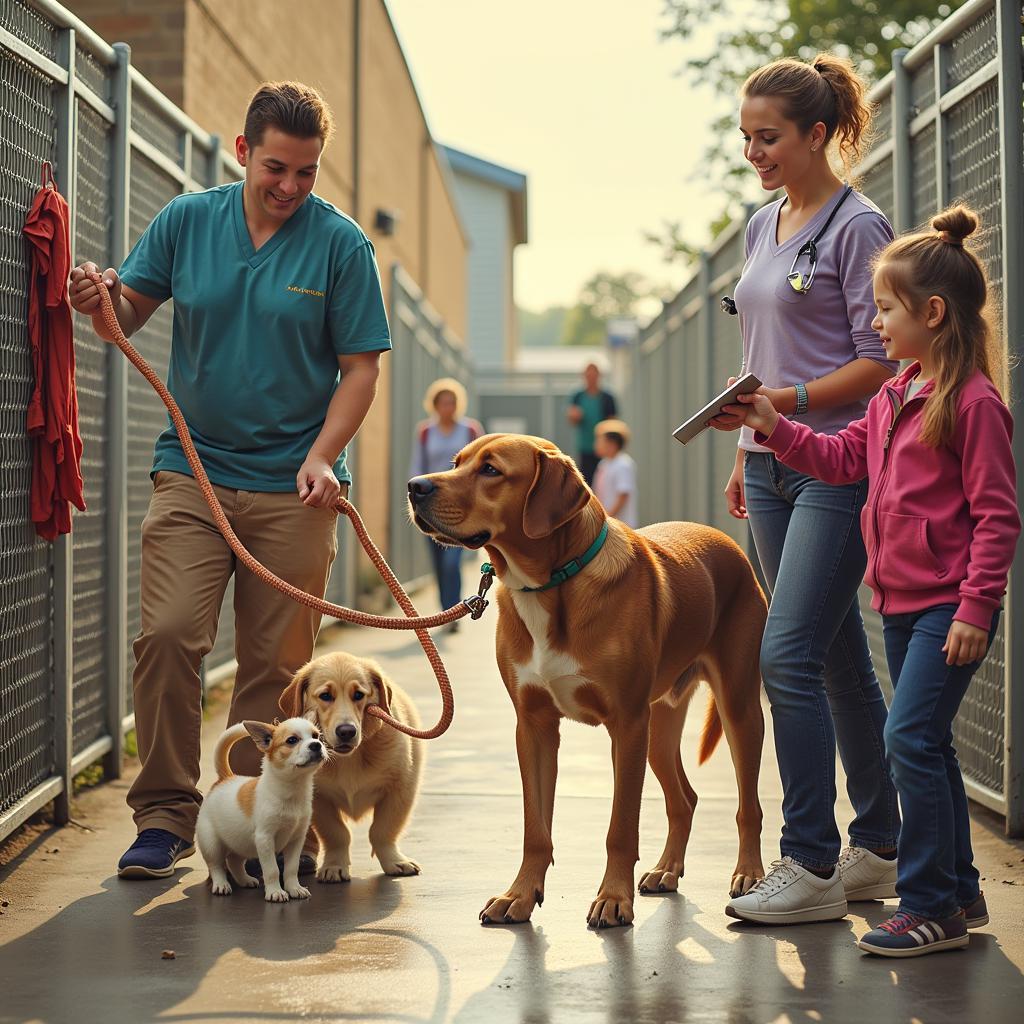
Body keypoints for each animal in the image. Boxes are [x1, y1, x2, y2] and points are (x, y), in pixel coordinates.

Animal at [197, 716, 325, 901]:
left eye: (317, 736)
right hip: (211, 844)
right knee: (216, 865)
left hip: (240, 842)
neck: (292, 790)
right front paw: (275, 892)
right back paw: (221, 884)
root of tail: (224, 779)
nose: (316, 744)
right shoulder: (265, 839)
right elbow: (272, 870)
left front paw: (294, 888)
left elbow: (291, 869)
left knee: (234, 862)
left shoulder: (296, 840)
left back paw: (245, 880)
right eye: (292, 740)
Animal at [407, 432, 770, 929]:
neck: (550, 585)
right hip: (658, 730)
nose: (414, 487)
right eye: (455, 462)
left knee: (748, 806)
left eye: (491, 470)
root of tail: (725, 542)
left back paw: (749, 873)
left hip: (736, 709)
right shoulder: (534, 726)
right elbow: (535, 828)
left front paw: (613, 898)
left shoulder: (627, 726)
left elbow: (620, 828)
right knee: (685, 799)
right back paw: (667, 869)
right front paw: (520, 894)